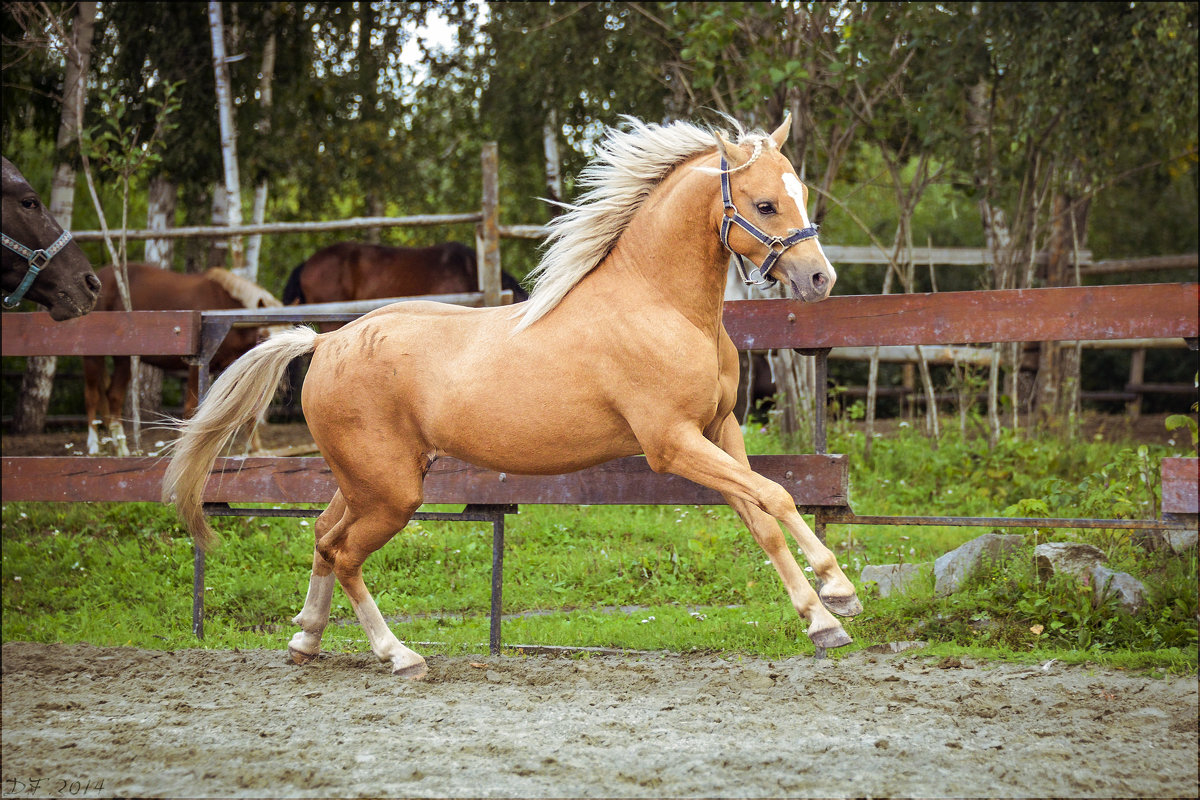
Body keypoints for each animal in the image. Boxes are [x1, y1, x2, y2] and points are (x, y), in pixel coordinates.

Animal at [85, 260, 280, 453]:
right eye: (263, 335)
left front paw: (255, 448)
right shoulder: (196, 366)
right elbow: (191, 408)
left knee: (110, 396)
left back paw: (117, 446)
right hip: (101, 357)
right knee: (96, 396)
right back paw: (98, 446)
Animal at [166, 113, 864, 676]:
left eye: (800, 192)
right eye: (767, 204)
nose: (819, 278)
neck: (658, 305)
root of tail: (328, 341)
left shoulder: (719, 432)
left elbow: (762, 514)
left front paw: (824, 620)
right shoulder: (672, 443)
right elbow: (777, 495)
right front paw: (839, 591)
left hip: (367, 481)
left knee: (321, 533)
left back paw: (306, 641)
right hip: (392, 491)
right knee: (343, 554)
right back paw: (399, 655)